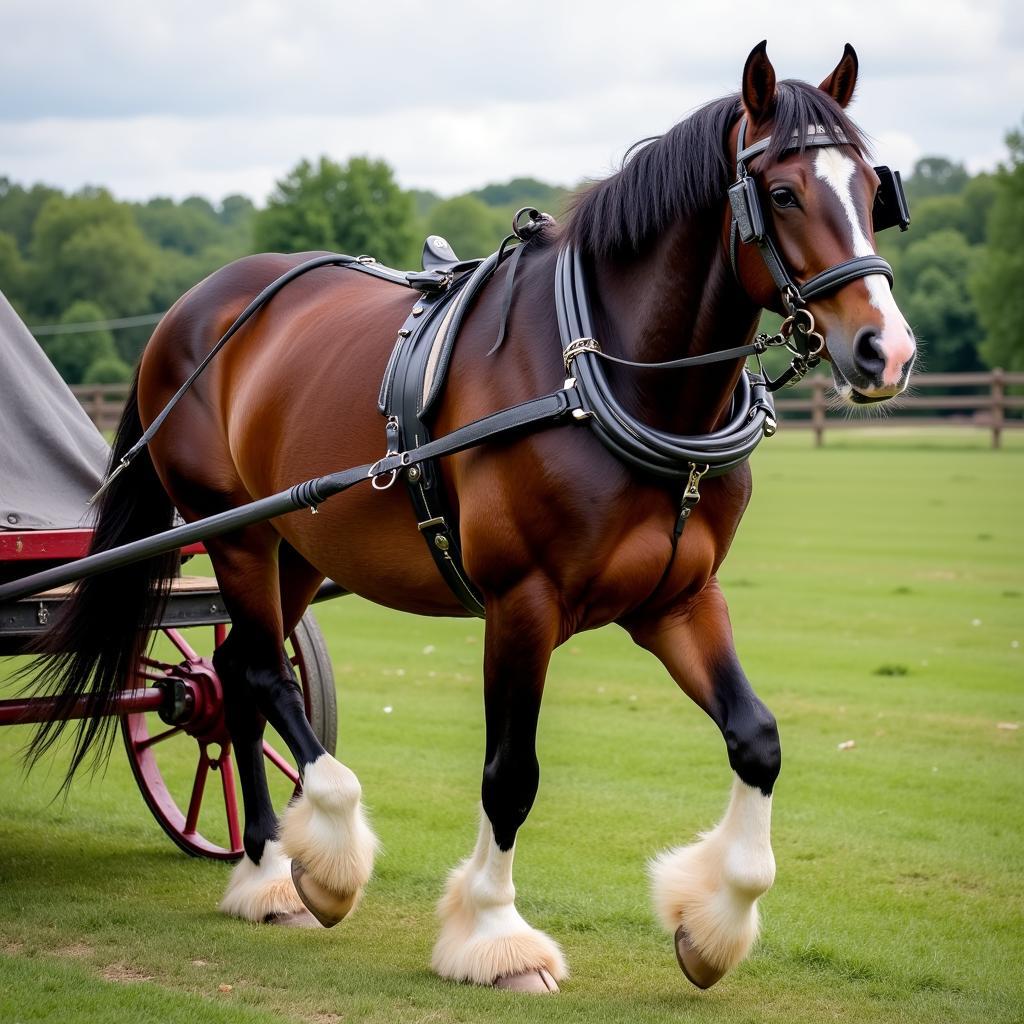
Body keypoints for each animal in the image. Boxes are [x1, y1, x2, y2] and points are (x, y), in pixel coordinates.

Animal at [29, 44, 913, 995]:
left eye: (874, 191)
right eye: (782, 193)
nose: (887, 351)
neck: (600, 376)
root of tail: (193, 306)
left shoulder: (678, 600)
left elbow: (758, 739)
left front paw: (713, 927)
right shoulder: (521, 604)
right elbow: (510, 774)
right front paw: (493, 934)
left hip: (297, 544)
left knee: (231, 677)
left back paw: (264, 867)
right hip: (235, 532)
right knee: (261, 673)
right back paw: (318, 861)